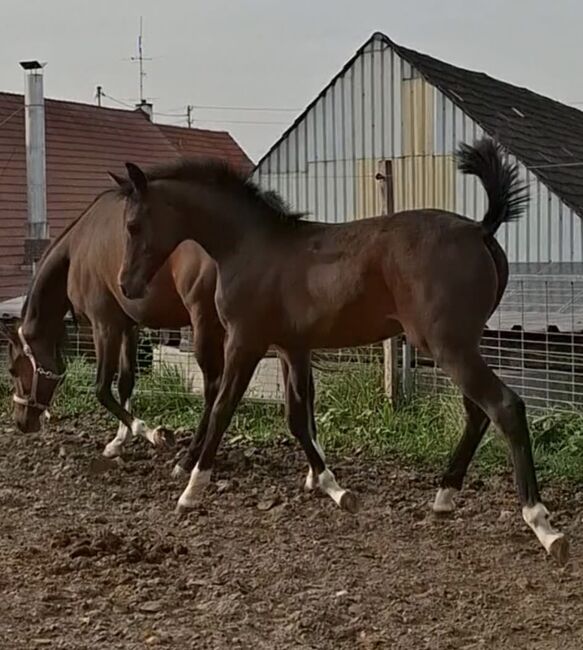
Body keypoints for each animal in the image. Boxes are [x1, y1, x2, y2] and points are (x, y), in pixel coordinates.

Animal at [0, 182, 320, 486]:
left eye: (13, 369)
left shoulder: (105, 325)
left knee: (214, 390)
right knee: (303, 389)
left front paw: (151, 432)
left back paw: (189, 460)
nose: (21, 422)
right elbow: (126, 382)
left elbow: (102, 388)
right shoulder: (129, 326)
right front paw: (119, 440)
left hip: (209, 327)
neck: (78, 248)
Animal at [115, 137, 572, 560]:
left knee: (504, 407)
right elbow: (298, 417)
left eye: (134, 224)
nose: (126, 285)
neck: (250, 247)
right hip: (459, 344)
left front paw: (191, 491)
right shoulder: (292, 348)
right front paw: (332, 487)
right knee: (477, 413)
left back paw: (543, 525)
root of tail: (480, 228)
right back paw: (444, 497)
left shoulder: (245, 342)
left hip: (448, 345)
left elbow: (224, 409)